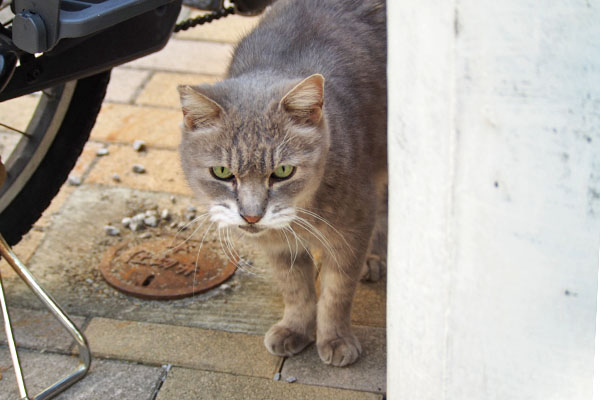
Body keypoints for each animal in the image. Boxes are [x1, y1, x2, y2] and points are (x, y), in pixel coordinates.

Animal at [178, 0, 386, 366]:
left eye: (283, 171)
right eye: (222, 173)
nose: (251, 215)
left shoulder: (353, 228)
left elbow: (336, 291)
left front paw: (335, 339)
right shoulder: (277, 245)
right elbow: (296, 289)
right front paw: (295, 329)